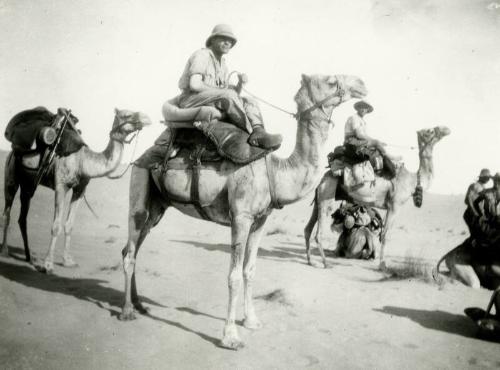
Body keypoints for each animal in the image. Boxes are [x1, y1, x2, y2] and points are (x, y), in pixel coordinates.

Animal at [0, 107, 151, 272]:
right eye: (127, 115)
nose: (146, 118)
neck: (83, 161)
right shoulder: (61, 186)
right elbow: (56, 225)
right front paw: (48, 264)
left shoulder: (80, 189)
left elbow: (69, 225)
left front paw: (67, 261)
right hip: (11, 176)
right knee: (7, 214)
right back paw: (5, 251)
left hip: (27, 184)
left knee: (22, 218)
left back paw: (29, 257)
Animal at [119, 73, 366, 348]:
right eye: (331, 80)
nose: (361, 84)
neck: (277, 172)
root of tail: (144, 154)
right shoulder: (241, 217)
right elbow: (234, 276)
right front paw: (230, 336)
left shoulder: (260, 220)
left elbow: (250, 271)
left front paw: (252, 321)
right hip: (140, 183)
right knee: (131, 248)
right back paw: (127, 311)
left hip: (158, 207)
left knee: (131, 248)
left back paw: (139, 304)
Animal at [302, 125, 452, 268]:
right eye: (430, 131)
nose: (446, 129)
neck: (412, 181)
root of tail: (323, 177)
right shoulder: (395, 205)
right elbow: (386, 235)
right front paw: (383, 265)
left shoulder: (390, 207)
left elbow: (384, 233)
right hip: (327, 195)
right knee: (318, 233)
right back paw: (325, 263)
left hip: (320, 198)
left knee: (308, 229)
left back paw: (310, 261)